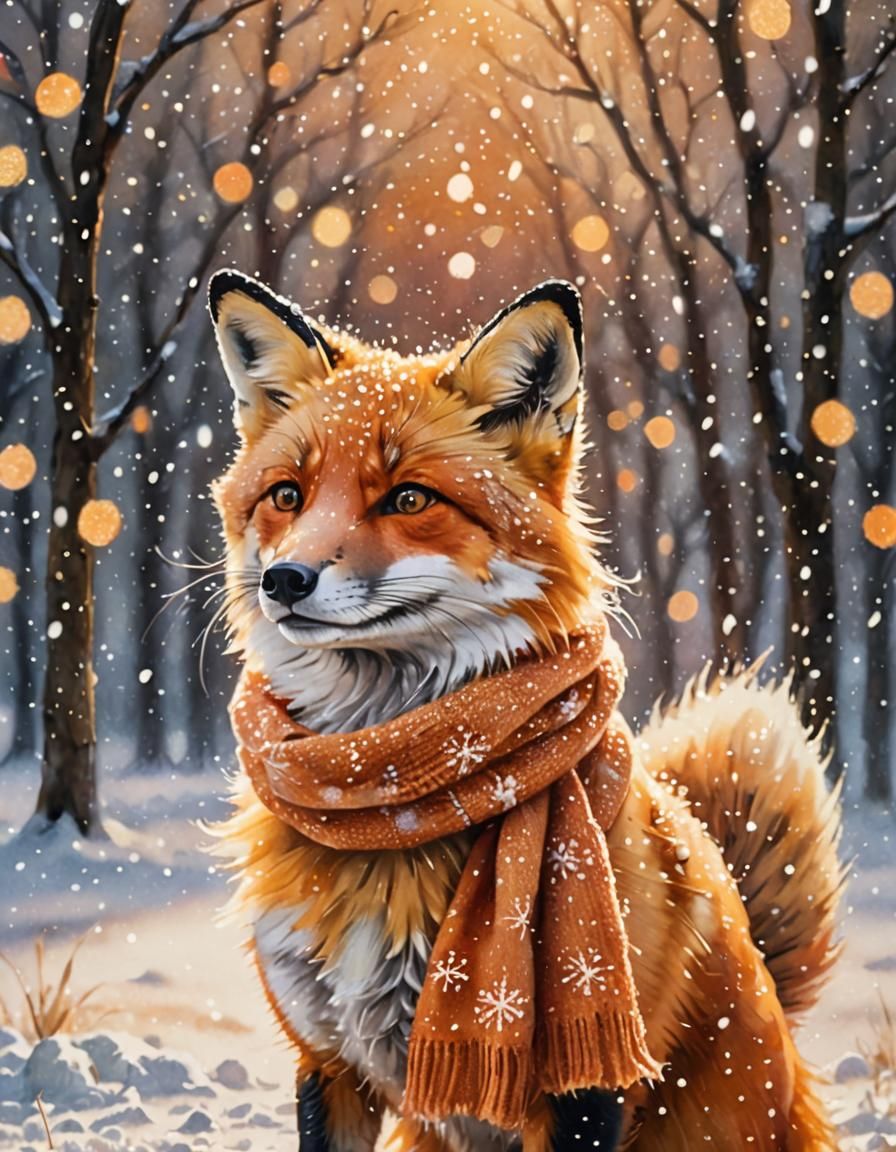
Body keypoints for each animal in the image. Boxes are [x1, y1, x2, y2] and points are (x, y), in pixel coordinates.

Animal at [208, 268, 843, 1152]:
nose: (285, 581)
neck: (390, 807)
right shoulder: (327, 1063)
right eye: (286, 496)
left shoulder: (585, 1084)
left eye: (409, 497)